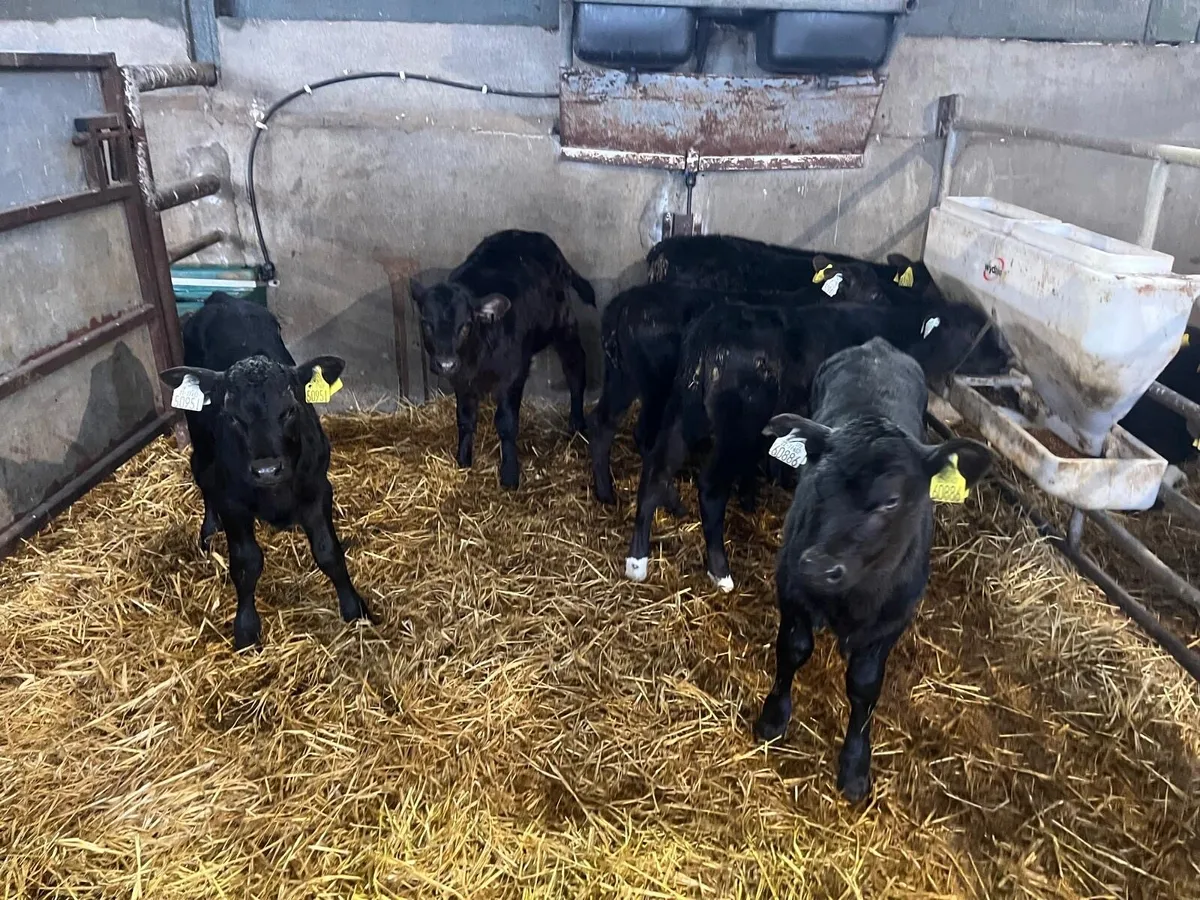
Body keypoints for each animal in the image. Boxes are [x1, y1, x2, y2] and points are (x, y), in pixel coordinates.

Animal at [159, 292, 371, 650]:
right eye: (231, 416)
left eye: (290, 410)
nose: (267, 469)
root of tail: (222, 300)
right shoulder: (232, 502)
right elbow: (246, 563)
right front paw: (246, 628)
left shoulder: (318, 488)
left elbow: (329, 552)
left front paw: (354, 608)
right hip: (201, 440)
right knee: (200, 473)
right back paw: (209, 529)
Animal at [410, 230, 595, 489]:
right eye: (426, 324)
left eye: (465, 325)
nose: (446, 363)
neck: (477, 357)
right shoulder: (462, 380)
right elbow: (465, 419)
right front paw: (463, 459)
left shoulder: (513, 374)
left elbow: (506, 423)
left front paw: (509, 474)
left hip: (562, 322)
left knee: (575, 367)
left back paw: (577, 423)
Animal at [623, 297, 1008, 590]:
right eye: (971, 330)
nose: (1008, 359)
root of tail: (711, 332)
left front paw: (754, 496)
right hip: (736, 427)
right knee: (710, 489)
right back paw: (720, 571)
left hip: (683, 409)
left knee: (656, 468)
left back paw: (637, 559)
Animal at [753, 337, 992, 802]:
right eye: (816, 479)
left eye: (891, 501)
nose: (819, 565)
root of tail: (877, 346)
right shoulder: (791, 584)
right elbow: (792, 648)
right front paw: (774, 715)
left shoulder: (893, 618)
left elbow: (864, 684)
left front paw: (855, 763)